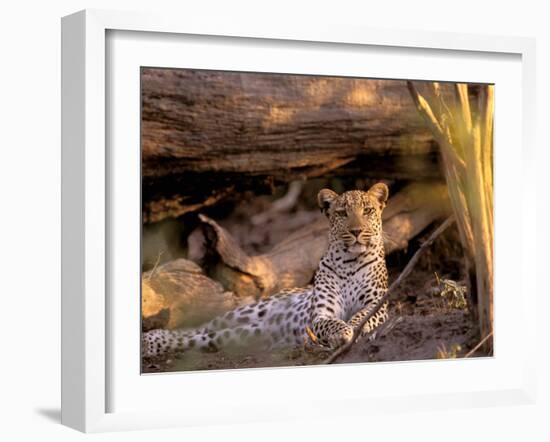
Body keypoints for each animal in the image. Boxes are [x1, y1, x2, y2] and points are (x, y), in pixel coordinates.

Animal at [142, 183, 392, 360]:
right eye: (342, 213)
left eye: (368, 211)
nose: (357, 231)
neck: (350, 261)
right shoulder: (321, 313)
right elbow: (329, 323)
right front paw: (343, 332)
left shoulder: (378, 305)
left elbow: (362, 317)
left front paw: (353, 330)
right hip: (243, 313)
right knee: (199, 328)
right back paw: (150, 340)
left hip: (241, 334)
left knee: (200, 338)